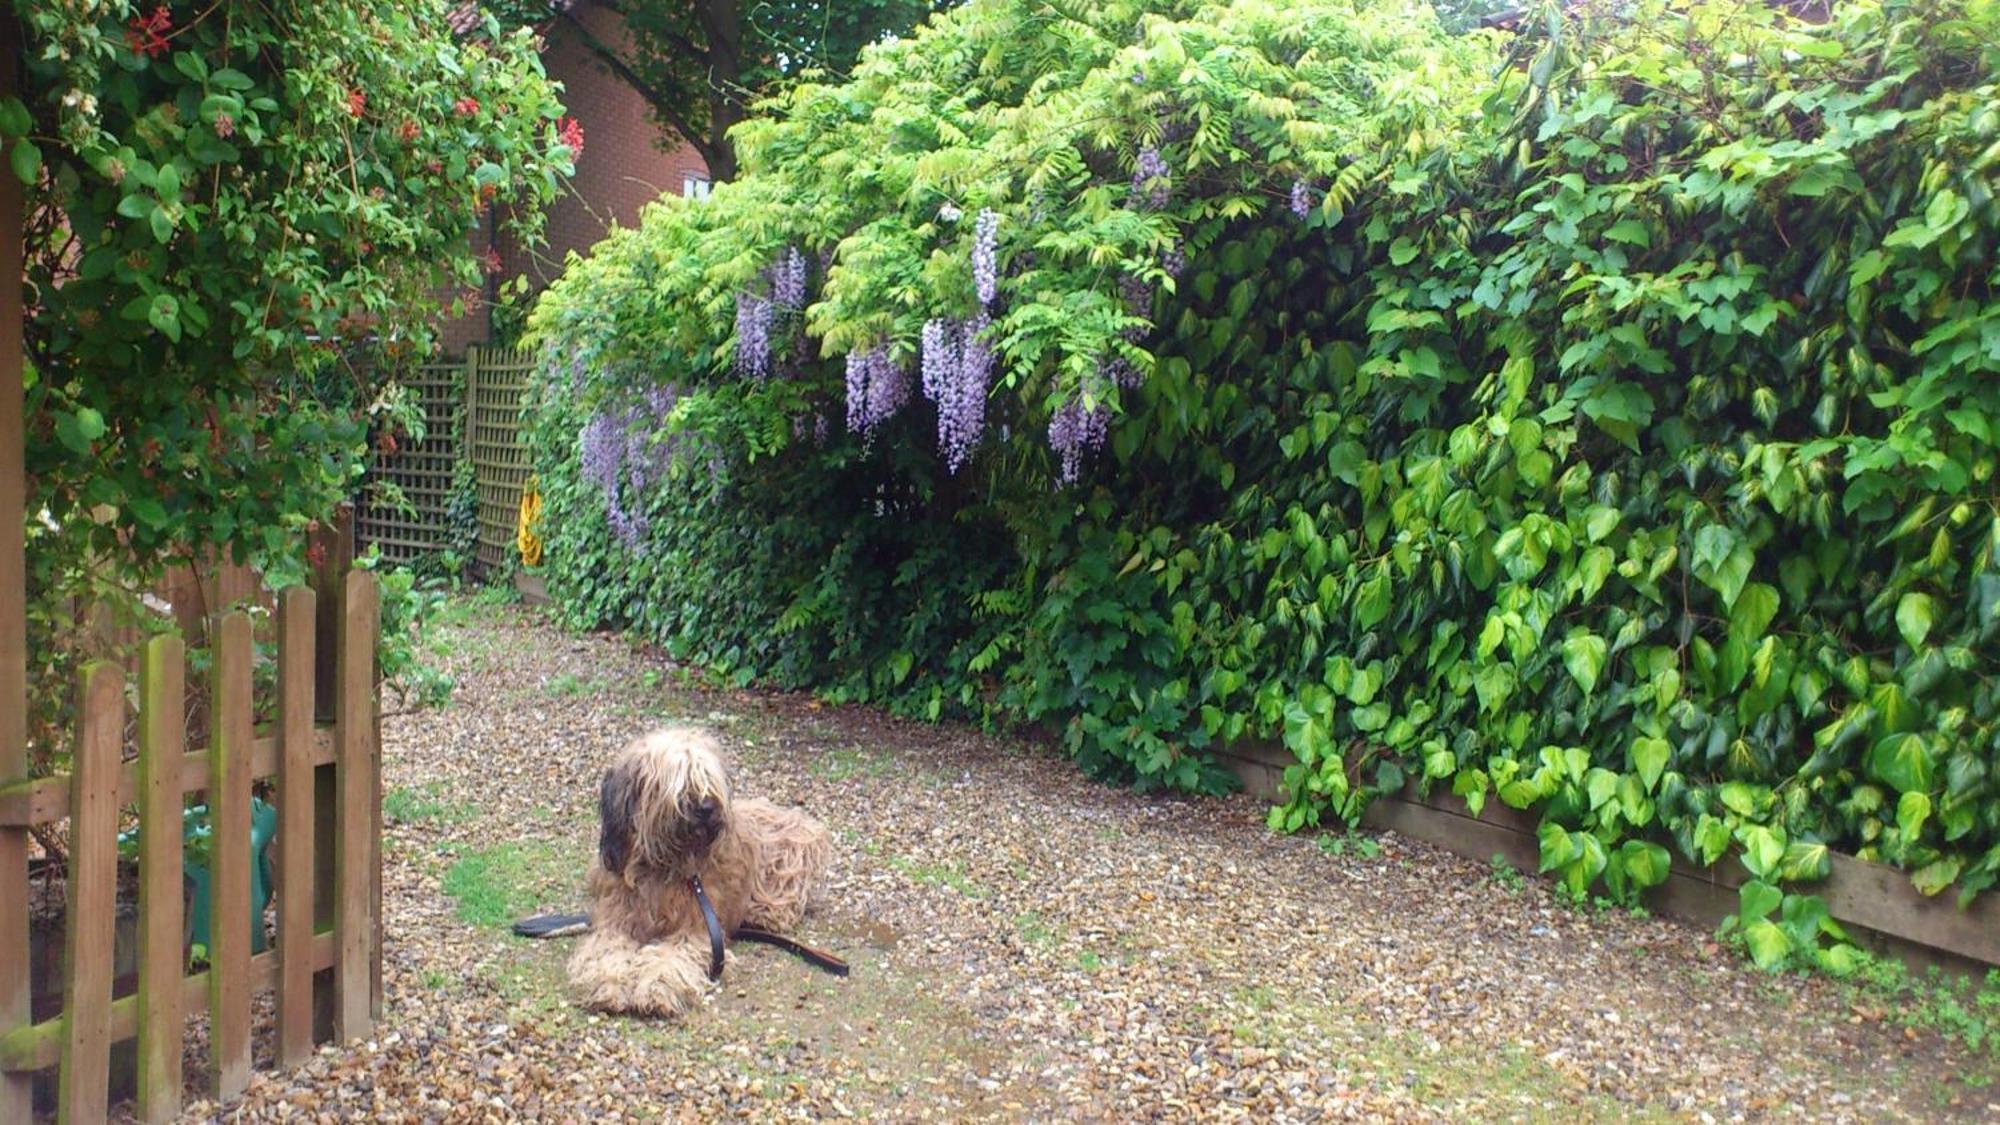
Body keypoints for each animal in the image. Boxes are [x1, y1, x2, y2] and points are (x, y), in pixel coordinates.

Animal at [572, 720, 828, 1012]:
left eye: (707, 776)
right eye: (677, 779)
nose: (706, 807)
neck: (662, 867)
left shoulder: (699, 931)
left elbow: (671, 958)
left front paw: (655, 989)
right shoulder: (615, 922)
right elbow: (605, 953)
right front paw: (610, 985)